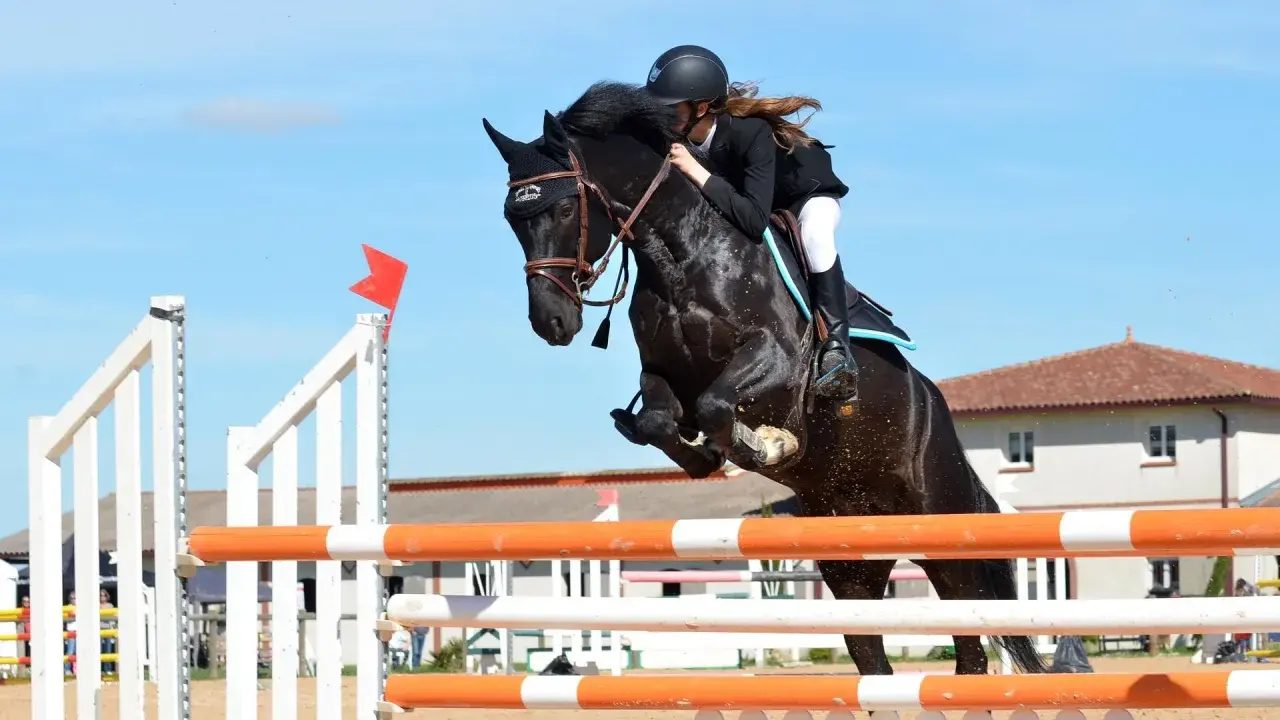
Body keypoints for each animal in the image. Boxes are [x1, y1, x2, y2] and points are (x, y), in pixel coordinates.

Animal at [482, 81, 1047, 677]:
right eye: (512, 219)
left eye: (567, 205)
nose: (551, 322)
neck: (681, 253)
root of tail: (936, 409)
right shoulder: (662, 374)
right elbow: (662, 421)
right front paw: (710, 455)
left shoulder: (776, 359)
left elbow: (718, 405)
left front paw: (769, 444)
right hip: (851, 561)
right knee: (874, 656)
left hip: (943, 530)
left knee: (970, 644)